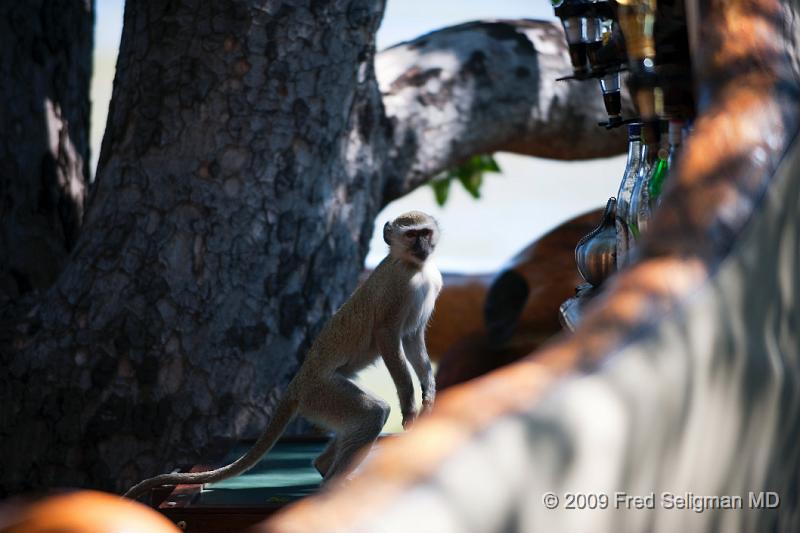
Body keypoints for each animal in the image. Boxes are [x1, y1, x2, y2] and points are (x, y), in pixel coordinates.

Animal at [123, 209, 444, 498]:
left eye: (425, 233)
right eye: (411, 235)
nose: (422, 246)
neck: (415, 267)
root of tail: (297, 384)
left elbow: (412, 338)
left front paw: (428, 391)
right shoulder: (399, 289)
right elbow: (388, 336)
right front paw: (409, 404)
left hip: (320, 398)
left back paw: (323, 466)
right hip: (320, 392)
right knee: (373, 412)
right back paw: (331, 484)